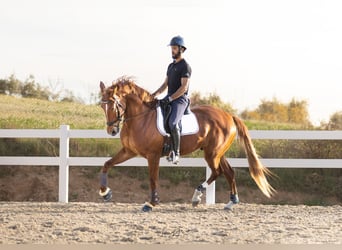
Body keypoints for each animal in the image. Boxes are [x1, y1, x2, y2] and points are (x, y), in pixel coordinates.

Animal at [99, 77, 276, 211]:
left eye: (114, 104)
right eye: (102, 105)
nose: (112, 130)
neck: (141, 118)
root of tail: (229, 116)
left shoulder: (153, 155)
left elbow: (153, 178)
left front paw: (151, 203)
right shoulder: (128, 151)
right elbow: (107, 164)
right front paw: (105, 193)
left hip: (212, 154)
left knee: (217, 172)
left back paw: (196, 197)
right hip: (218, 153)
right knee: (229, 172)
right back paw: (231, 202)